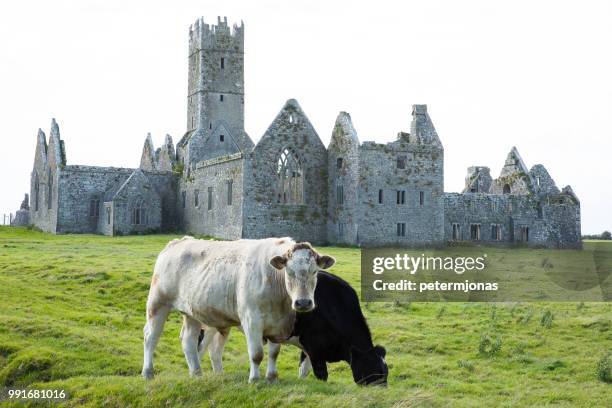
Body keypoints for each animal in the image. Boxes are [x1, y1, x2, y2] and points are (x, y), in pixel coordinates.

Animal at [142, 236, 338, 382]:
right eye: (289, 272)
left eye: (314, 271)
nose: (303, 303)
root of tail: (178, 241)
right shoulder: (252, 320)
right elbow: (257, 354)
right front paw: (254, 379)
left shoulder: (278, 323)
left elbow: (274, 353)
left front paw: (272, 377)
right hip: (158, 303)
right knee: (151, 337)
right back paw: (148, 372)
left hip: (192, 313)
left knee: (188, 340)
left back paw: (197, 373)